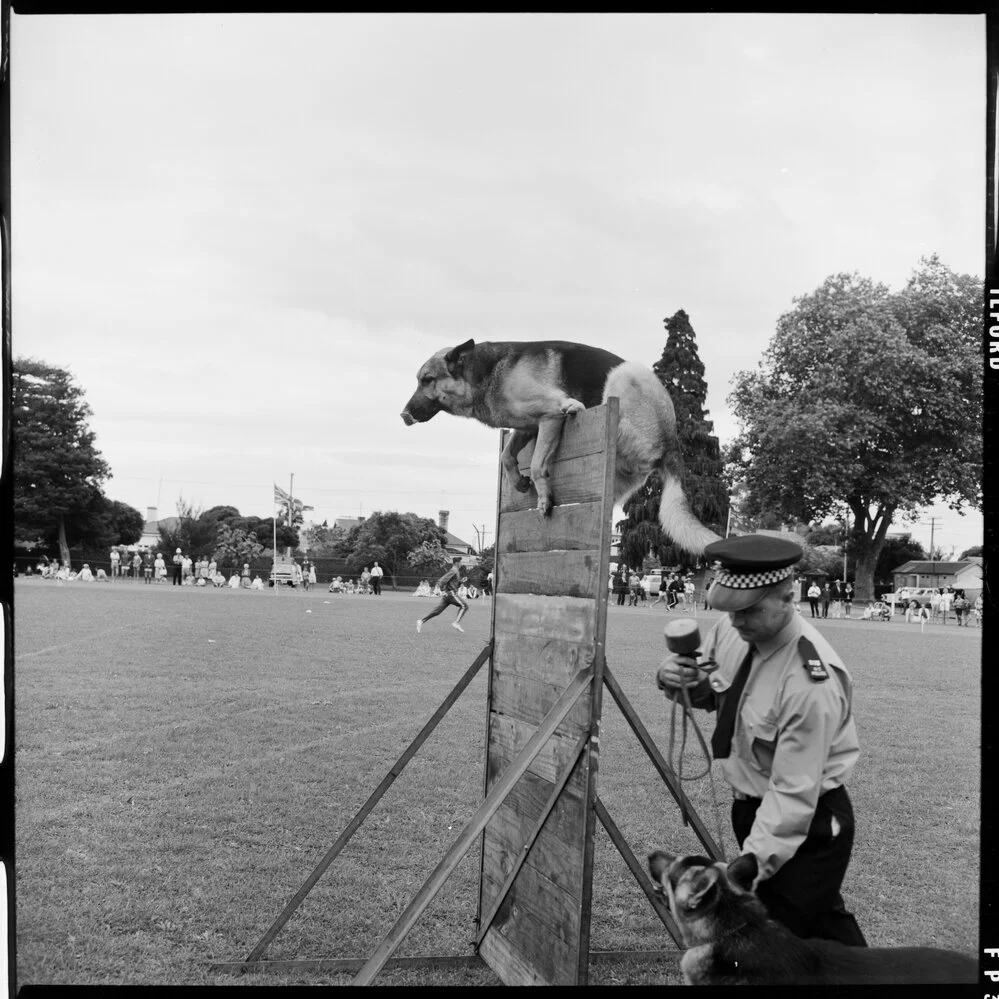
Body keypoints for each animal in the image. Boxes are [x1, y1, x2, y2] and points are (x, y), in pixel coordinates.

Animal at [402, 336, 724, 556]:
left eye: (428, 380)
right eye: (419, 380)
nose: (404, 415)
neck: (490, 373)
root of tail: (671, 443)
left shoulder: (549, 414)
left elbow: (536, 463)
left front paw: (543, 496)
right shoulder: (528, 426)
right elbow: (507, 455)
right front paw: (518, 482)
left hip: (625, 374)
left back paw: (578, 409)